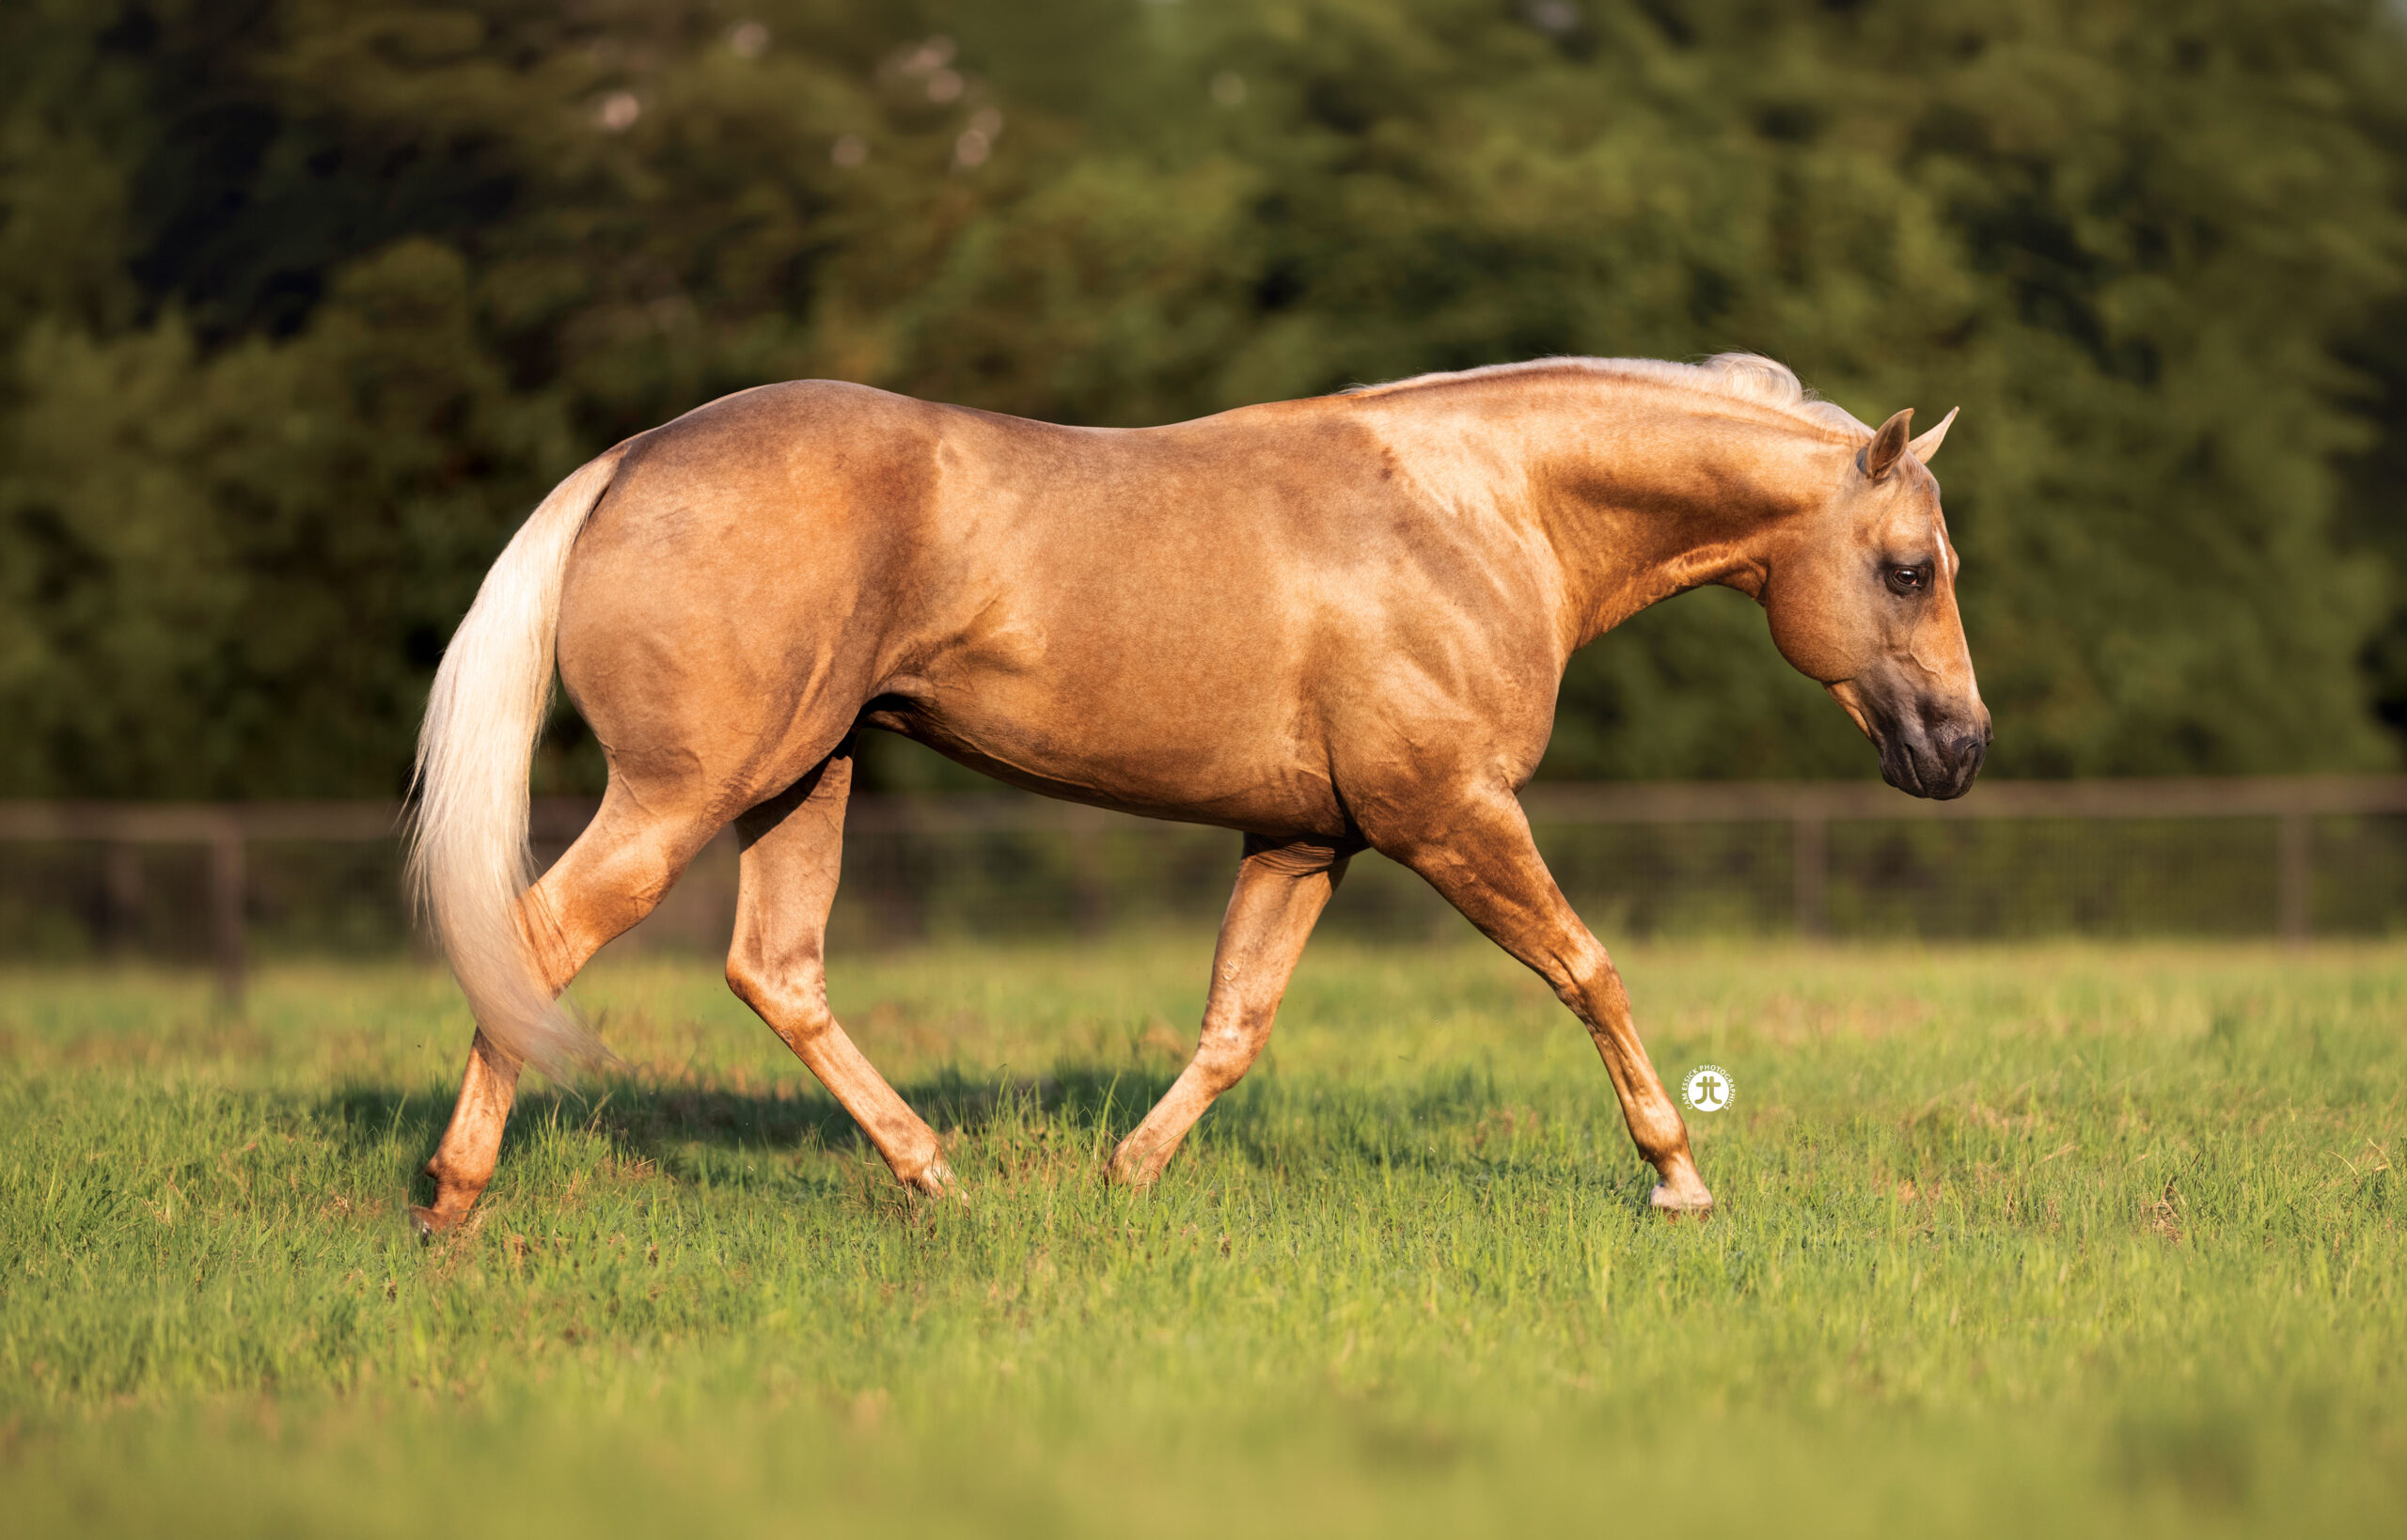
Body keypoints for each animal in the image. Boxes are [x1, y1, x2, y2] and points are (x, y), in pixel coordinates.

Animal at [404, 353, 1987, 1234]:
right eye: (1911, 569)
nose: (1959, 751)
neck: (1478, 509)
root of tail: (629, 461)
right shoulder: (1449, 816)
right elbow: (1590, 970)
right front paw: (1679, 1177)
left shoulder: (1303, 839)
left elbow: (1236, 1022)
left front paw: (1127, 1176)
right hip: (686, 794)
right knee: (535, 942)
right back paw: (455, 1200)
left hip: (807, 776)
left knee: (774, 971)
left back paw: (937, 1178)